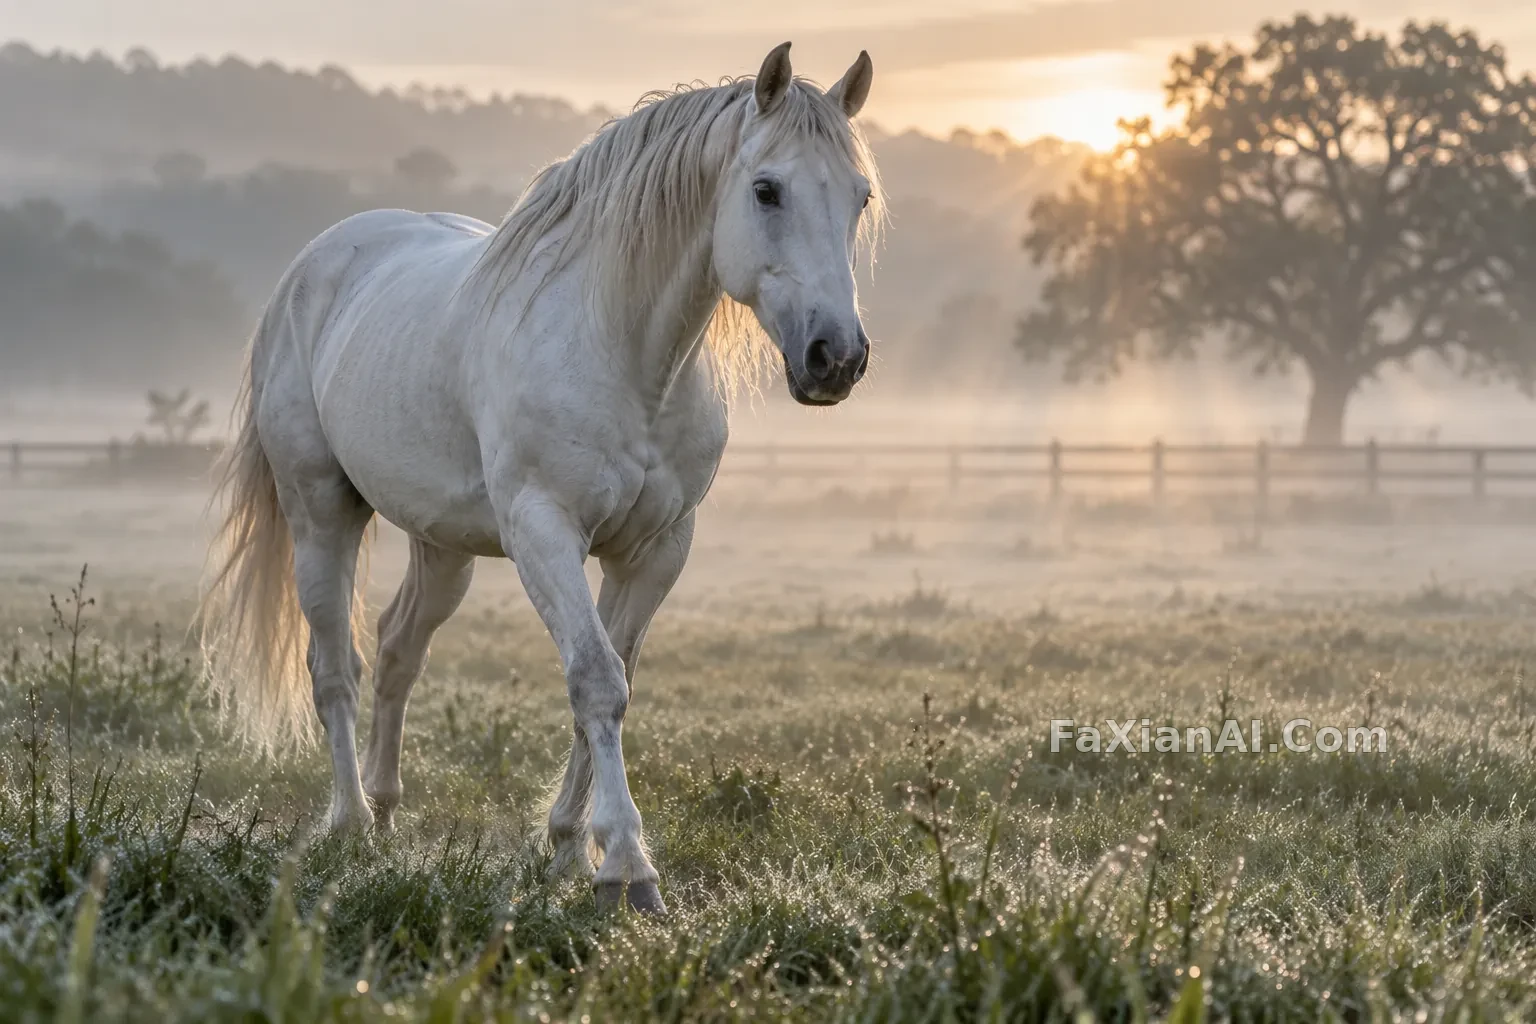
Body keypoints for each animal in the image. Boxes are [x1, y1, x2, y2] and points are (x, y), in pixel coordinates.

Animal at [200, 42, 883, 914]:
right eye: (767, 189)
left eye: (860, 196)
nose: (837, 358)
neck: (623, 353)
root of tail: (312, 266)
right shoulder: (544, 530)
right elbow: (595, 680)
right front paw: (627, 867)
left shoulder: (657, 549)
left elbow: (615, 678)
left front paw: (567, 848)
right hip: (322, 513)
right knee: (334, 669)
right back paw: (350, 823)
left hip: (442, 545)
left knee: (396, 649)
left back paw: (386, 812)